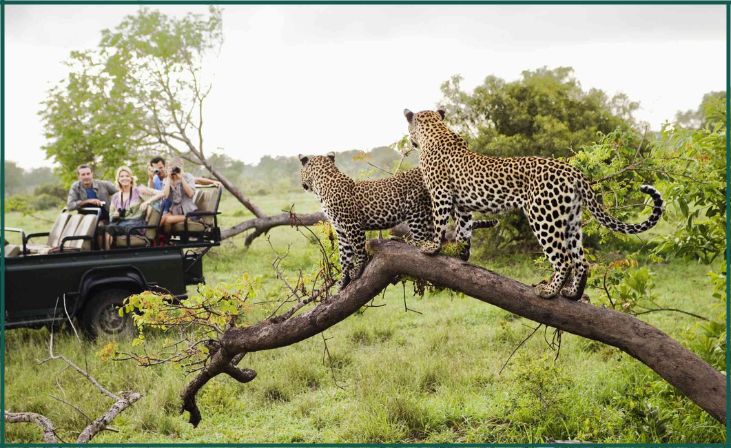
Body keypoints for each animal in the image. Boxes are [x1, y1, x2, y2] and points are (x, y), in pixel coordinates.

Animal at [298, 152, 498, 288]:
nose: (302, 184)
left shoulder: (352, 225)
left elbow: (358, 250)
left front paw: (357, 270)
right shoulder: (340, 230)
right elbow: (344, 256)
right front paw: (342, 281)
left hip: (417, 211)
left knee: (423, 240)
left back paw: (406, 242)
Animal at [404, 107, 668, 300]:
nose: (410, 140)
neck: (436, 131)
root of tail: (574, 172)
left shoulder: (440, 193)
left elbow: (440, 223)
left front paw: (432, 247)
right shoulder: (463, 204)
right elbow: (464, 229)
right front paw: (461, 254)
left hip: (543, 216)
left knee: (563, 259)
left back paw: (549, 291)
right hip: (571, 220)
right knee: (581, 261)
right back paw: (572, 294)